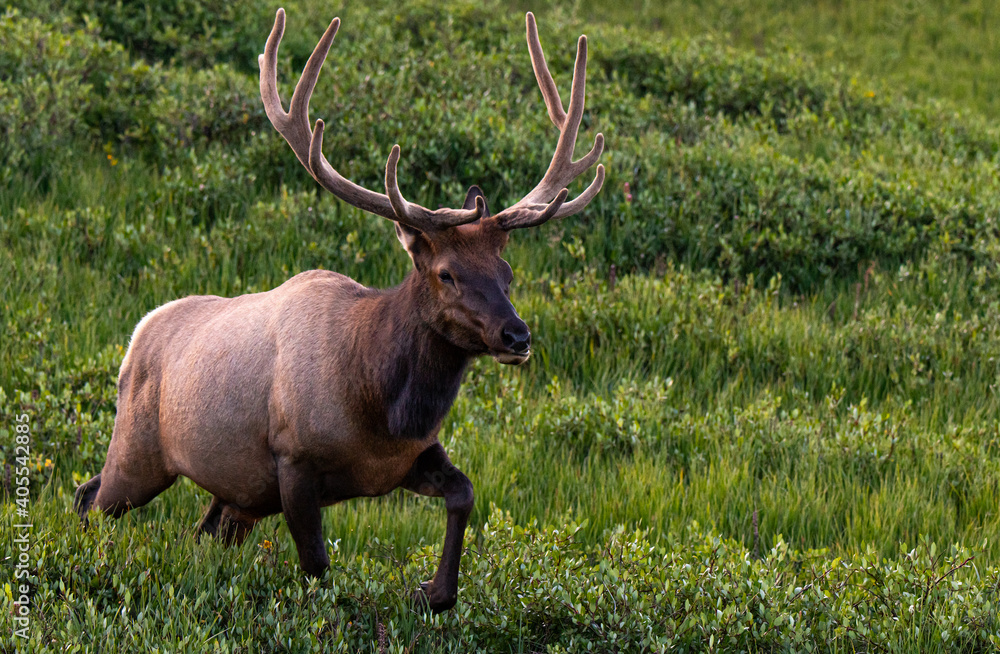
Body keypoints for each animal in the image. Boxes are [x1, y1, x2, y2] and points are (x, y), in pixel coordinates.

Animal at [74, 6, 604, 616]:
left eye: (507, 272)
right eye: (447, 273)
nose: (517, 336)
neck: (380, 408)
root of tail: (136, 335)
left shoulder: (404, 460)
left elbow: (465, 493)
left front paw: (435, 591)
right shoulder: (293, 461)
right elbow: (317, 566)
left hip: (235, 492)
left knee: (198, 531)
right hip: (140, 450)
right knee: (88, 496)